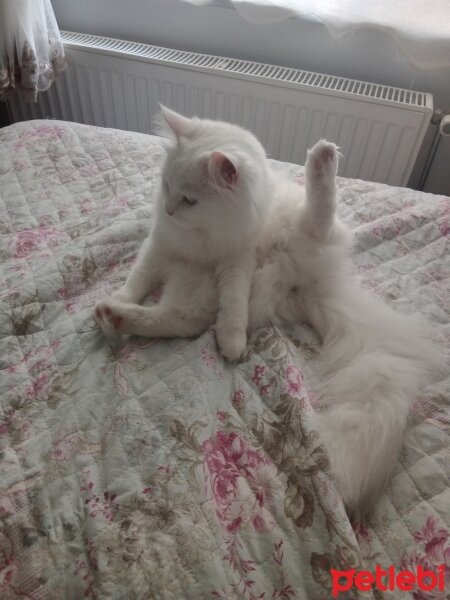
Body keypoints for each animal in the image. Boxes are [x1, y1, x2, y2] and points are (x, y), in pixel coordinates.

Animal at [96, 106, 440, 516]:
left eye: (190, 200)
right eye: (165, 186)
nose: (169, 209)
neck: (204, 239)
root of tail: (315, 286)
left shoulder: (237, 260)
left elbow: (233, 306)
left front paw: (232, 342)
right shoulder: (161, 245)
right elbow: (137, 281)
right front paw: (118, 299)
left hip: (301, 239)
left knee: (320, 214)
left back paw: (322, 159)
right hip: (197, 293)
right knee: (175, 320)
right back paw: (112, 315)